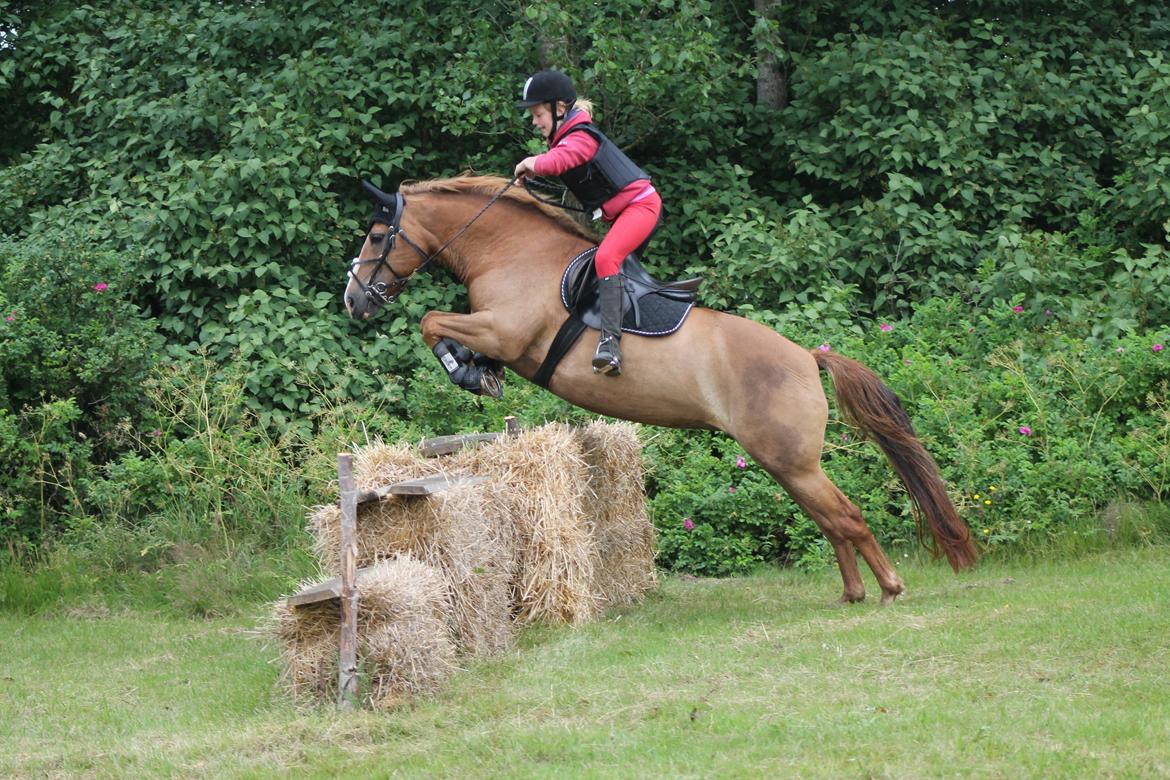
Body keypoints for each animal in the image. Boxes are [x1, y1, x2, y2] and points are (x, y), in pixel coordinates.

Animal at [343, 176, 978, 603]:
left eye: (376, 235)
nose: (353, 300)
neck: (511, 252)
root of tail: (806, 356)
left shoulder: (505, 330)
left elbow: (431, 321)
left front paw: (466, 371)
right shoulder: (496, 333)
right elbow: (441, 326)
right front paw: (477, 372)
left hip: (790, 459)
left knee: (846, 516)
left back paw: (889, 587)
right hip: (784, 462)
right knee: (832, 520)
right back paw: (853, 592)